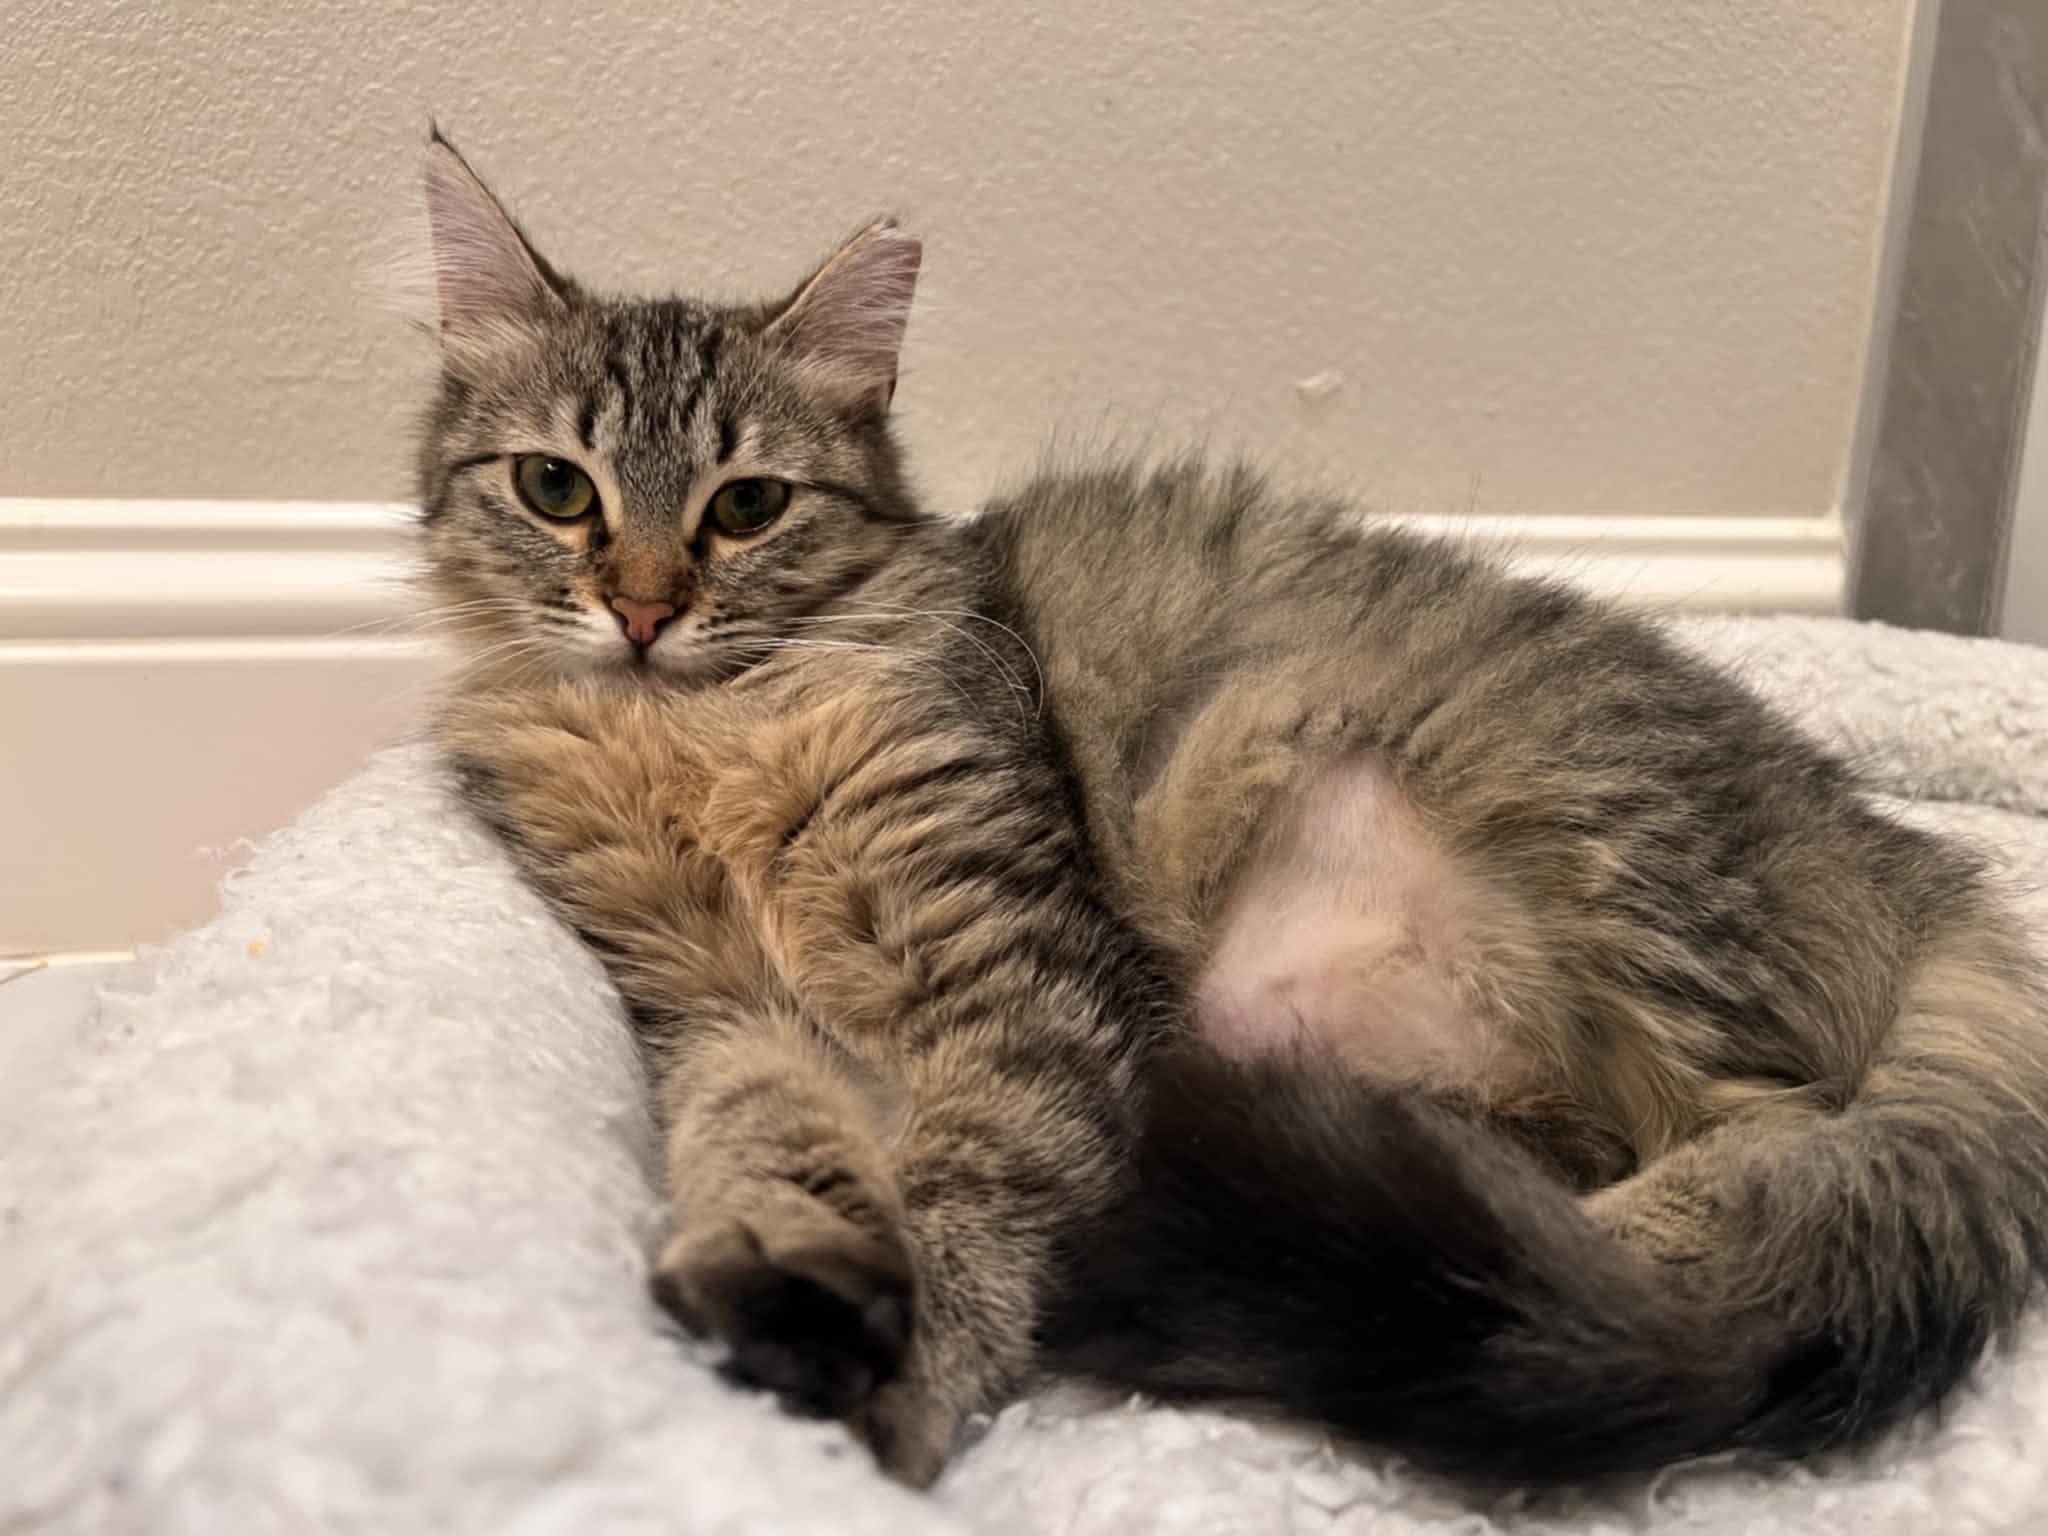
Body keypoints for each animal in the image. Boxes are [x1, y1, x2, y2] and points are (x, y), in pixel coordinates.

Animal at [415, 128, 2048, 1489]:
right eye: (558, 488)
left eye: (745, 507)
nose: (640, 611)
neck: (689, 738)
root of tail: (1910, 864)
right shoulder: (714, 1005)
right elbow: (763, 1141)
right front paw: (782, 1291)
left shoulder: (1017, 974)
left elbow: (973, 1189)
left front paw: (896, 1391)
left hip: (1575, 840)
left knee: (1762, 1172)